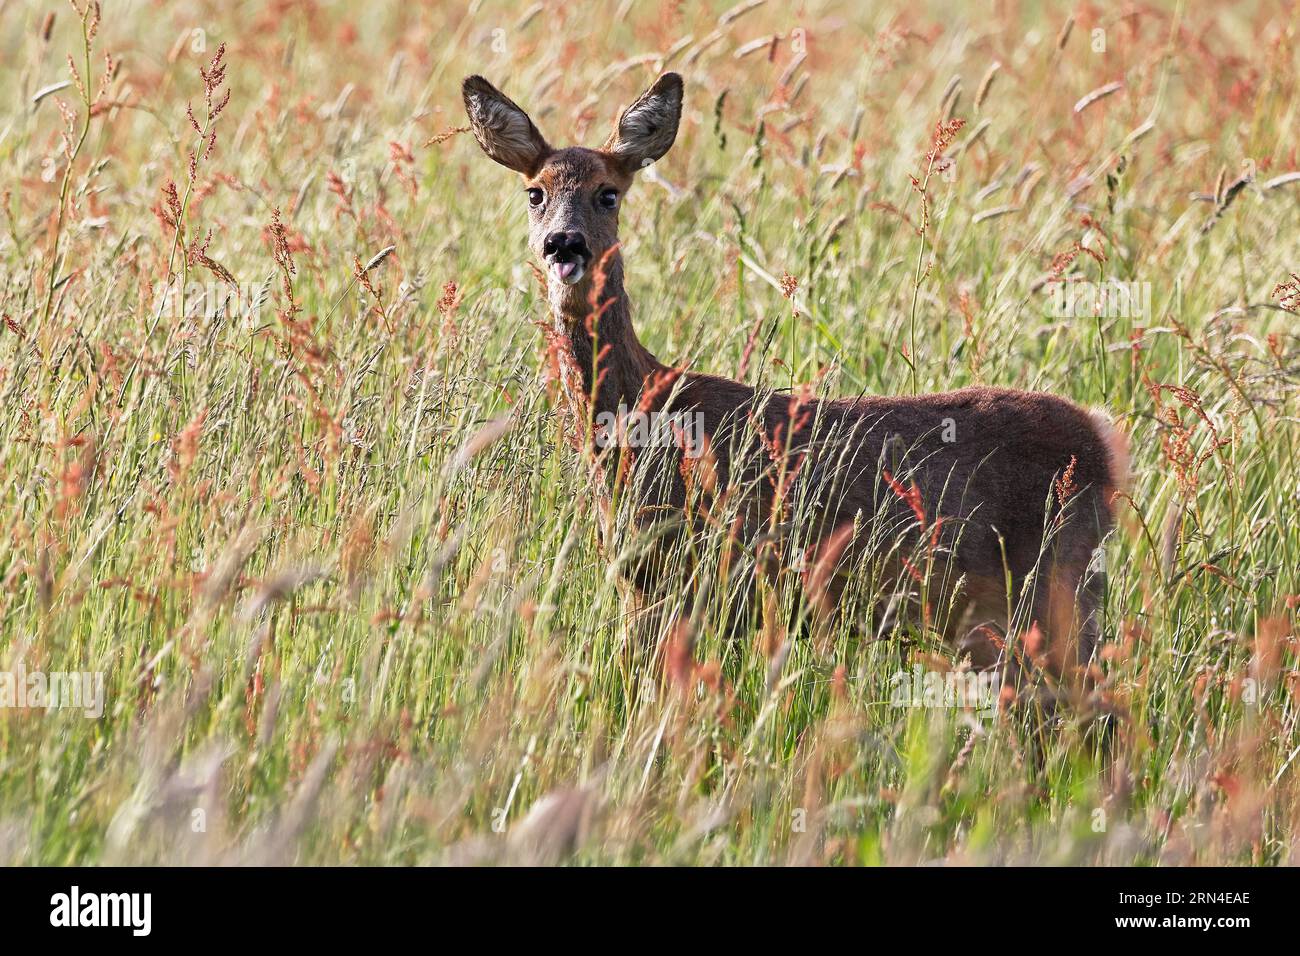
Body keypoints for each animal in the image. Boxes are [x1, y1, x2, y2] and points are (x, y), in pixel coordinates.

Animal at [465, 70, 1128, 691]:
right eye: (535, 193)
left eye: (608, 194)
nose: (564, 244)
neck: (642, 415)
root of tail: (1104, 444)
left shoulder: (689, 579)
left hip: (1051, 594)